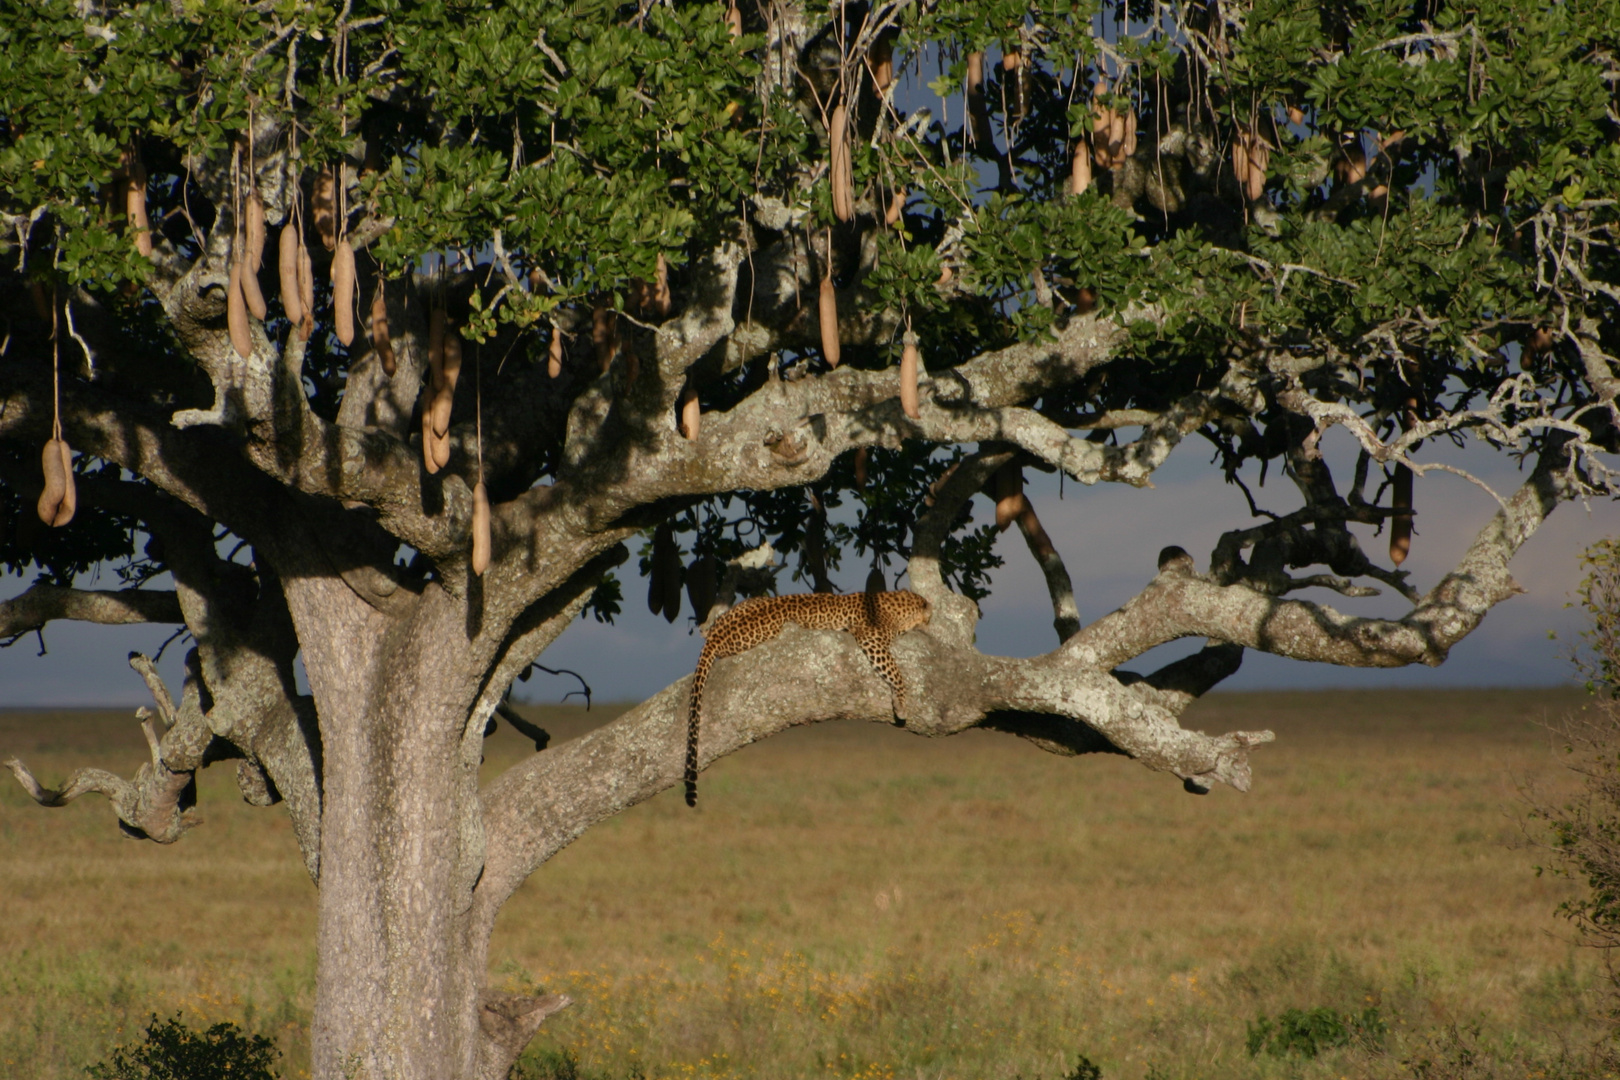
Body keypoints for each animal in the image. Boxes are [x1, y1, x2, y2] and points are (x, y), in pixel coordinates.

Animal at [683, 592, 939, 803]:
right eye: (929, 617)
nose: (931, 624)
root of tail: (717, 634)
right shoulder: (872, 639)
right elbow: (896, 672)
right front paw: (901, 704)